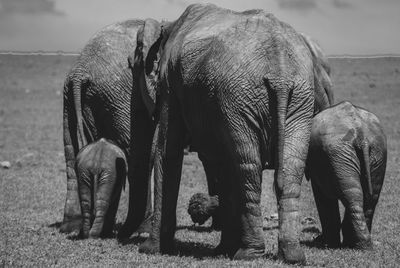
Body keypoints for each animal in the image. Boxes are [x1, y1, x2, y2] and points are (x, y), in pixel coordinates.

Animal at [61, 20, 154, 234]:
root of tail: (79, 71)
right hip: (119, 96)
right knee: (139, 154)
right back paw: (137, 228)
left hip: (78, 97)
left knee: (70, 151)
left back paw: (72, 227)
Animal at [130, 3, 332, 264]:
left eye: (133, 64)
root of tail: (280, 71)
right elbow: (221, 165)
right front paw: (222, 250)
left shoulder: (170, 82)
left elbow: (167, 150)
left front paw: (149, 249)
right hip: (298, 97)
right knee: (287, 169)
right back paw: (292, 255)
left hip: (240, 96)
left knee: (248, 167)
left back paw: (248, 254)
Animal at [306, 101, 388, 249]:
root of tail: (361, 136)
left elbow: (322, 195)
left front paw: (325, 243)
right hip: (375, 152)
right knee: (366, 195)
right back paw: (362, 244)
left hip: (340, 154)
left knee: (353, 195)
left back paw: (356, 244)